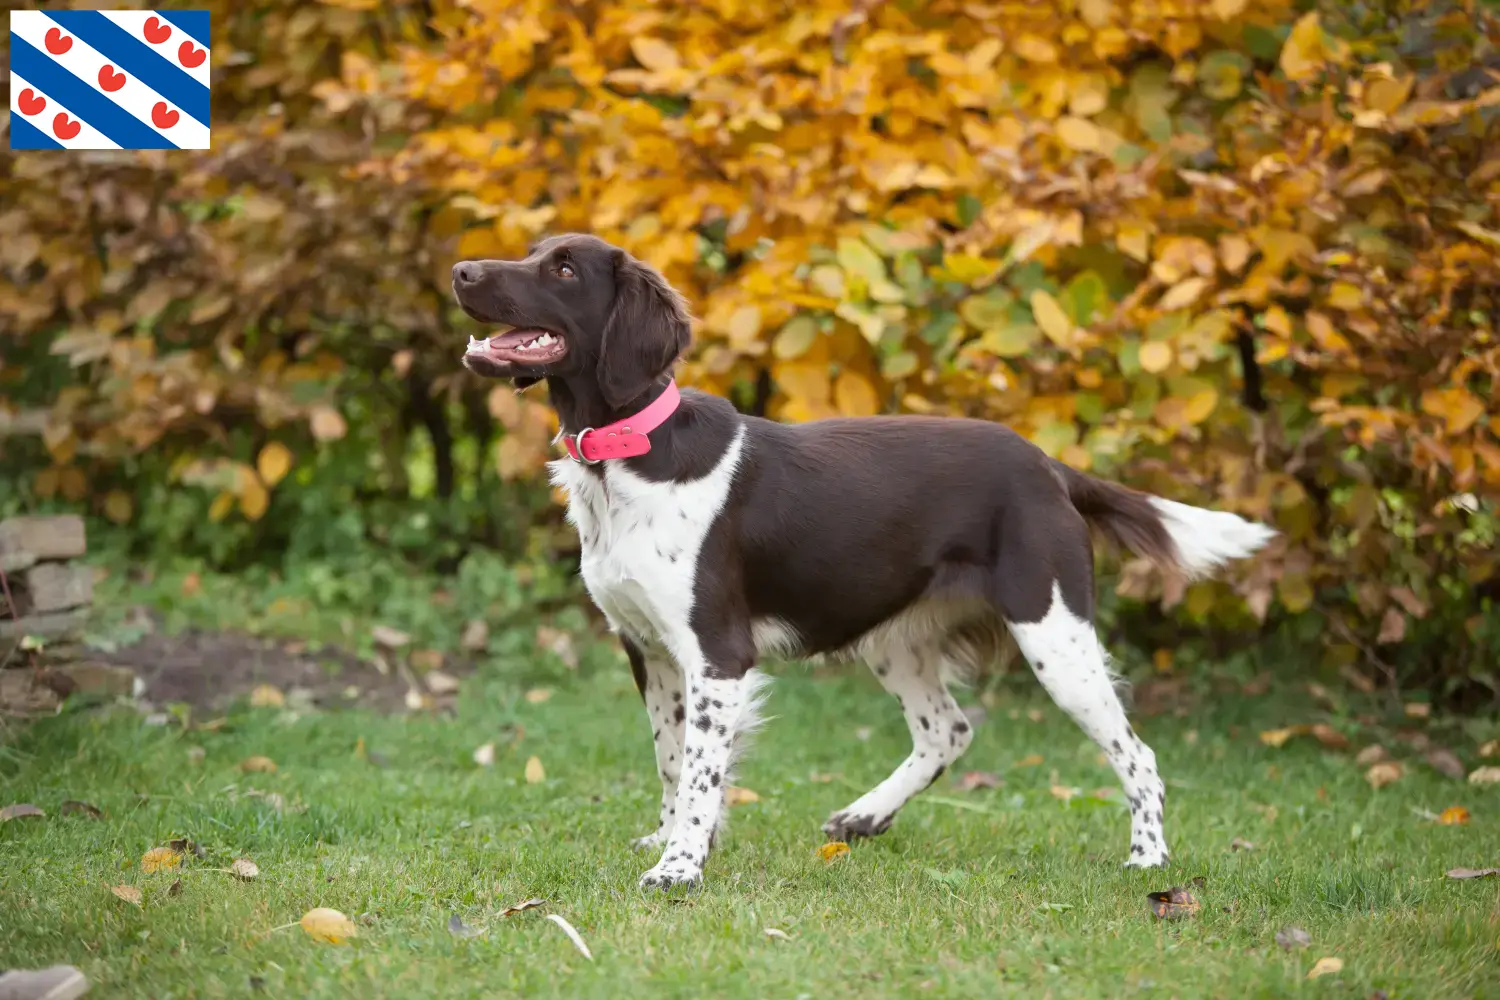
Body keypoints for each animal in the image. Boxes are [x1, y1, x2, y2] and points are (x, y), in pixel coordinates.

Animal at [450, 235, 1272, 893]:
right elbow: (673, 762)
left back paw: (1149, 859)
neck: (631, 454)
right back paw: (865, 816)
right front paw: (675, 840)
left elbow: (701, 773)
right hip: (898, 637)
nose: (459, 270)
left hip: (1054, 632)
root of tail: (1049, 465)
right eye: (533, 250)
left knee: (1138, 752)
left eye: (561, 268)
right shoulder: (648, 651)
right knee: (948, 729)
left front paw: (679, 868)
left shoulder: (717, 654)